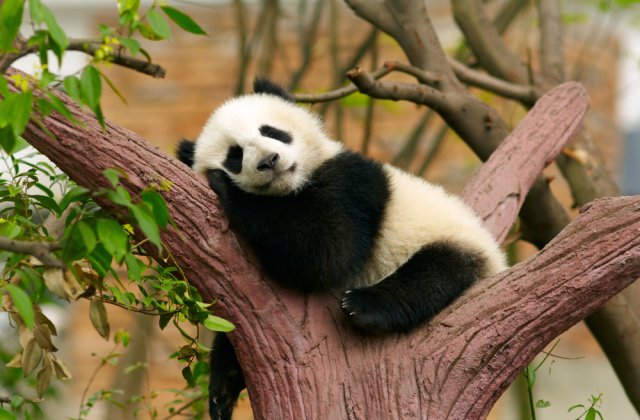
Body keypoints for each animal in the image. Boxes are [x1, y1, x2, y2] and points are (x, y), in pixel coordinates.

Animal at [177, 79, 506, 420]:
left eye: (271, 131)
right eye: (235, 155)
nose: (269, 161)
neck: (290, 188)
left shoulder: (351, 183)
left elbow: (327, 251)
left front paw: (227, 188)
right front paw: (223, 387)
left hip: (453, 241)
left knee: (433, 274)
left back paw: (364, 305)